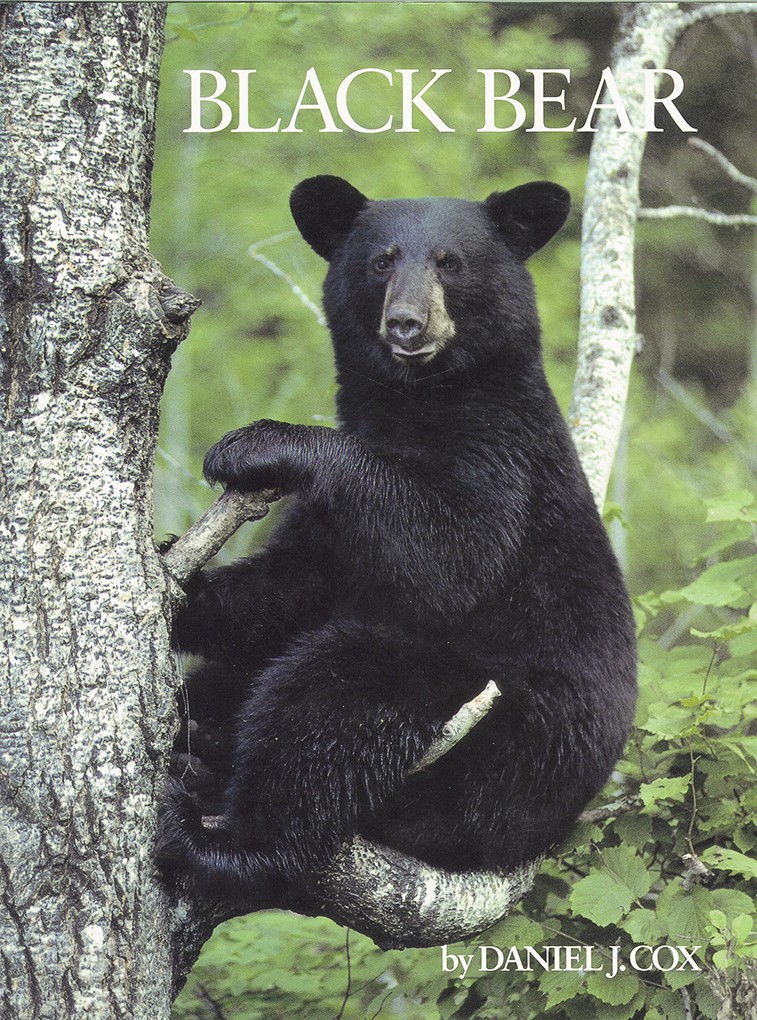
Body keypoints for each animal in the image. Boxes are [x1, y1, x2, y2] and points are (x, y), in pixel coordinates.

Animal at [158, 175, 637, 904]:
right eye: (382, 261)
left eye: (450, 262)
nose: (407, 324)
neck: (416, 400)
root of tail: (536, 841)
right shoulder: (332, 523)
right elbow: (291, 585)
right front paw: (176, 577)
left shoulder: (503, 459)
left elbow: (448, 554)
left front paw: (254, 444)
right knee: (233, 681)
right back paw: (199, 744)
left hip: (499, 739)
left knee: (331, 700)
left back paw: (221, 840)